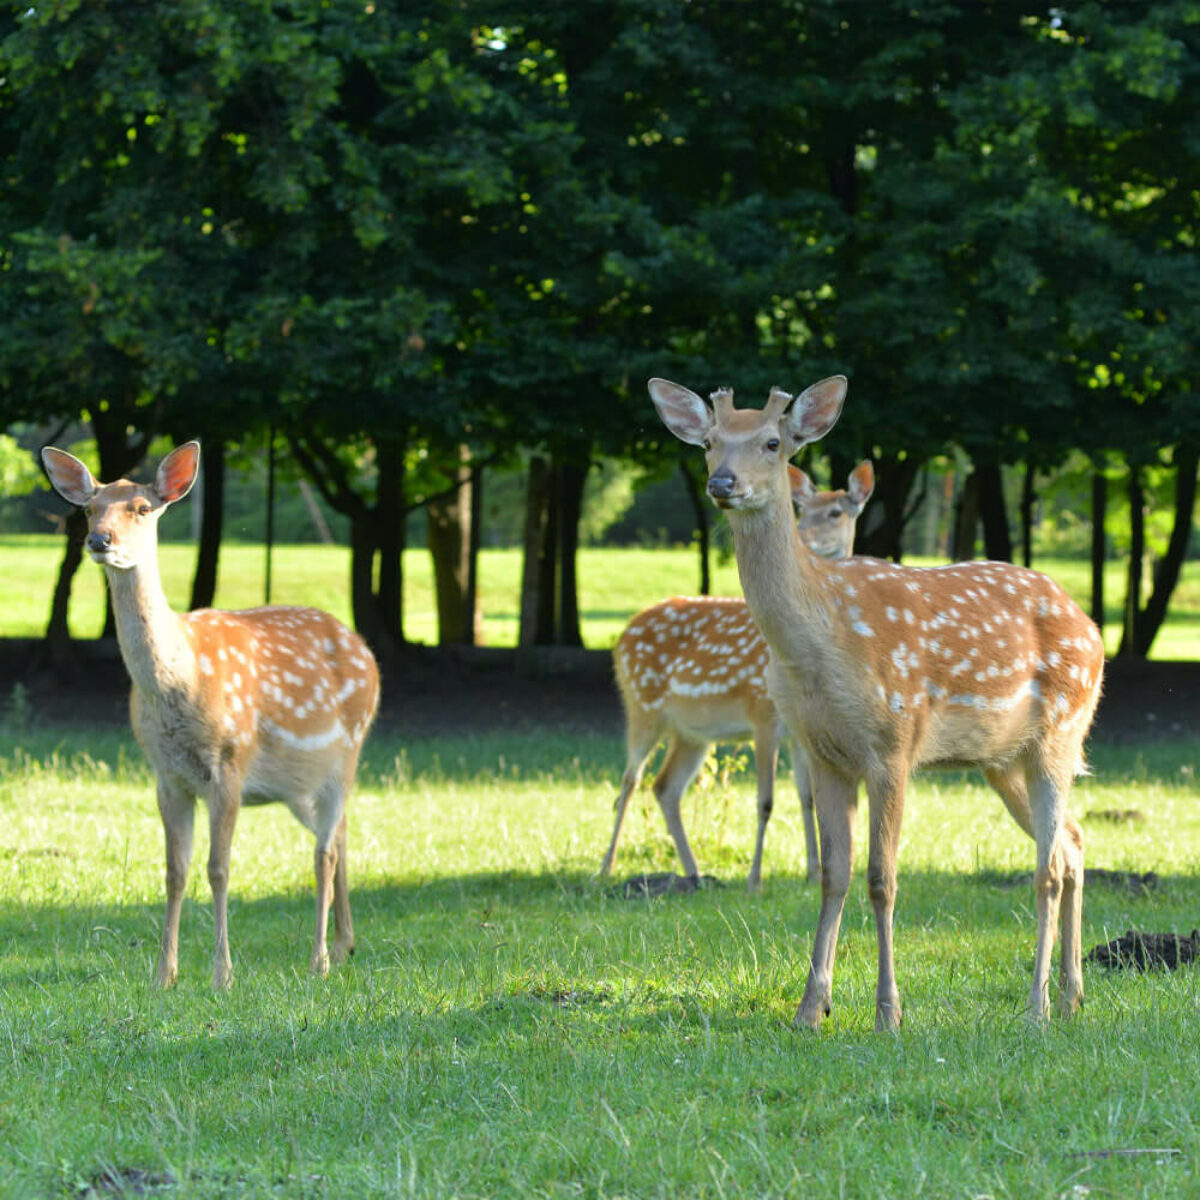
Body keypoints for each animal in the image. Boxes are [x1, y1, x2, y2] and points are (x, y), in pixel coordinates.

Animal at [41, 441, 380, 990]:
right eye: (89, 508)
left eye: (142, 508)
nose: (99, 539)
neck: (181, 683)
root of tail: (366, 652)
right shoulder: (166, 774)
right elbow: (174, 871)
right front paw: (164, 974)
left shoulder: (230, 762)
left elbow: (218, 868)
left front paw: (222, 974)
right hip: (297, 784)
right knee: (342, 833)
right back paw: (345, 943)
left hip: (346, 751)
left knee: (324, 851)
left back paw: (319, 960)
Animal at [601, 460, 875, 891]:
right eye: (801, 511)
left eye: (836, 512)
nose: (805, 539)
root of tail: (623, 634)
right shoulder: (762, 713)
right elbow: (765, 800)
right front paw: (755, 879)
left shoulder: (801, 731)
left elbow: (807, 798)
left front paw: (812, 872)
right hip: (641, 704)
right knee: (630, 781)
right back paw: (606, 867)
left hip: (692, 733)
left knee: (665, 787)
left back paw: (693, 873)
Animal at [648, 376, 1105, 1030]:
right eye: (709, 442)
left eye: (772, 442)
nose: (722, 483)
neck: (819, 647)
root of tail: (1091, 627)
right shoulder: (822, 752)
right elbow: (833, 876)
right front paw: (811, 1008)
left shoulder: (894, 741)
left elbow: (881, 878)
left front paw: (889, 1012)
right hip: (1002, 760)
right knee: (1071, 843)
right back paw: (1072, 995)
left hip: (1061, 731)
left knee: (1045, 869)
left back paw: (1037, 1007)